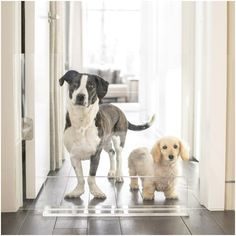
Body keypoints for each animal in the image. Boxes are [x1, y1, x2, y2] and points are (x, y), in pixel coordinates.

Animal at [59, 70, 155, 199]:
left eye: (91, 86)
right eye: (75, 84)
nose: (80, 96)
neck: (82, 121)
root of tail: (119, 109)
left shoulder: (95, 155)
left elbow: (91, 176)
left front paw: (96, 191)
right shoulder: (74, 156)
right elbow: (80, 178)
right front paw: (77, 191)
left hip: (118, 140)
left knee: (119, 156)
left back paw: (118, 175)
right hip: (105, 143)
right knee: (112, 153)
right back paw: (112, 172)